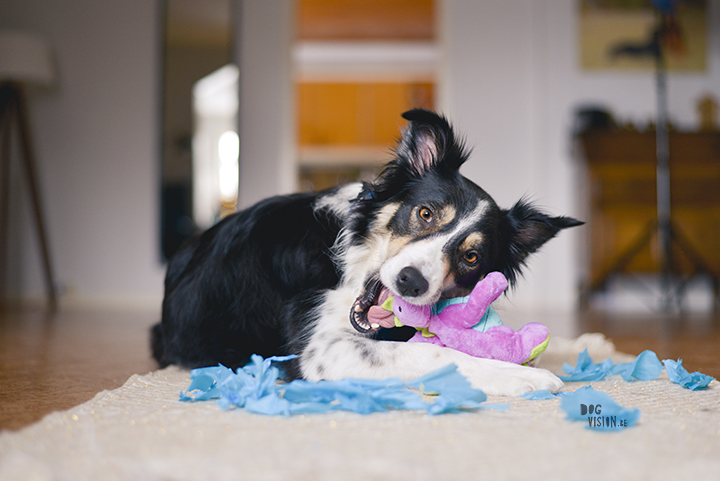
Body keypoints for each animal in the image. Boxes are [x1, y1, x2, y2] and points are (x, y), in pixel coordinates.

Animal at [153, 110, 584, 396]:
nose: (411, 282)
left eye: (471, 257)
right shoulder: (320, 352)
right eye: (425, 213)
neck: (347, 259)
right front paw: (523, 375)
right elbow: (434, 355)